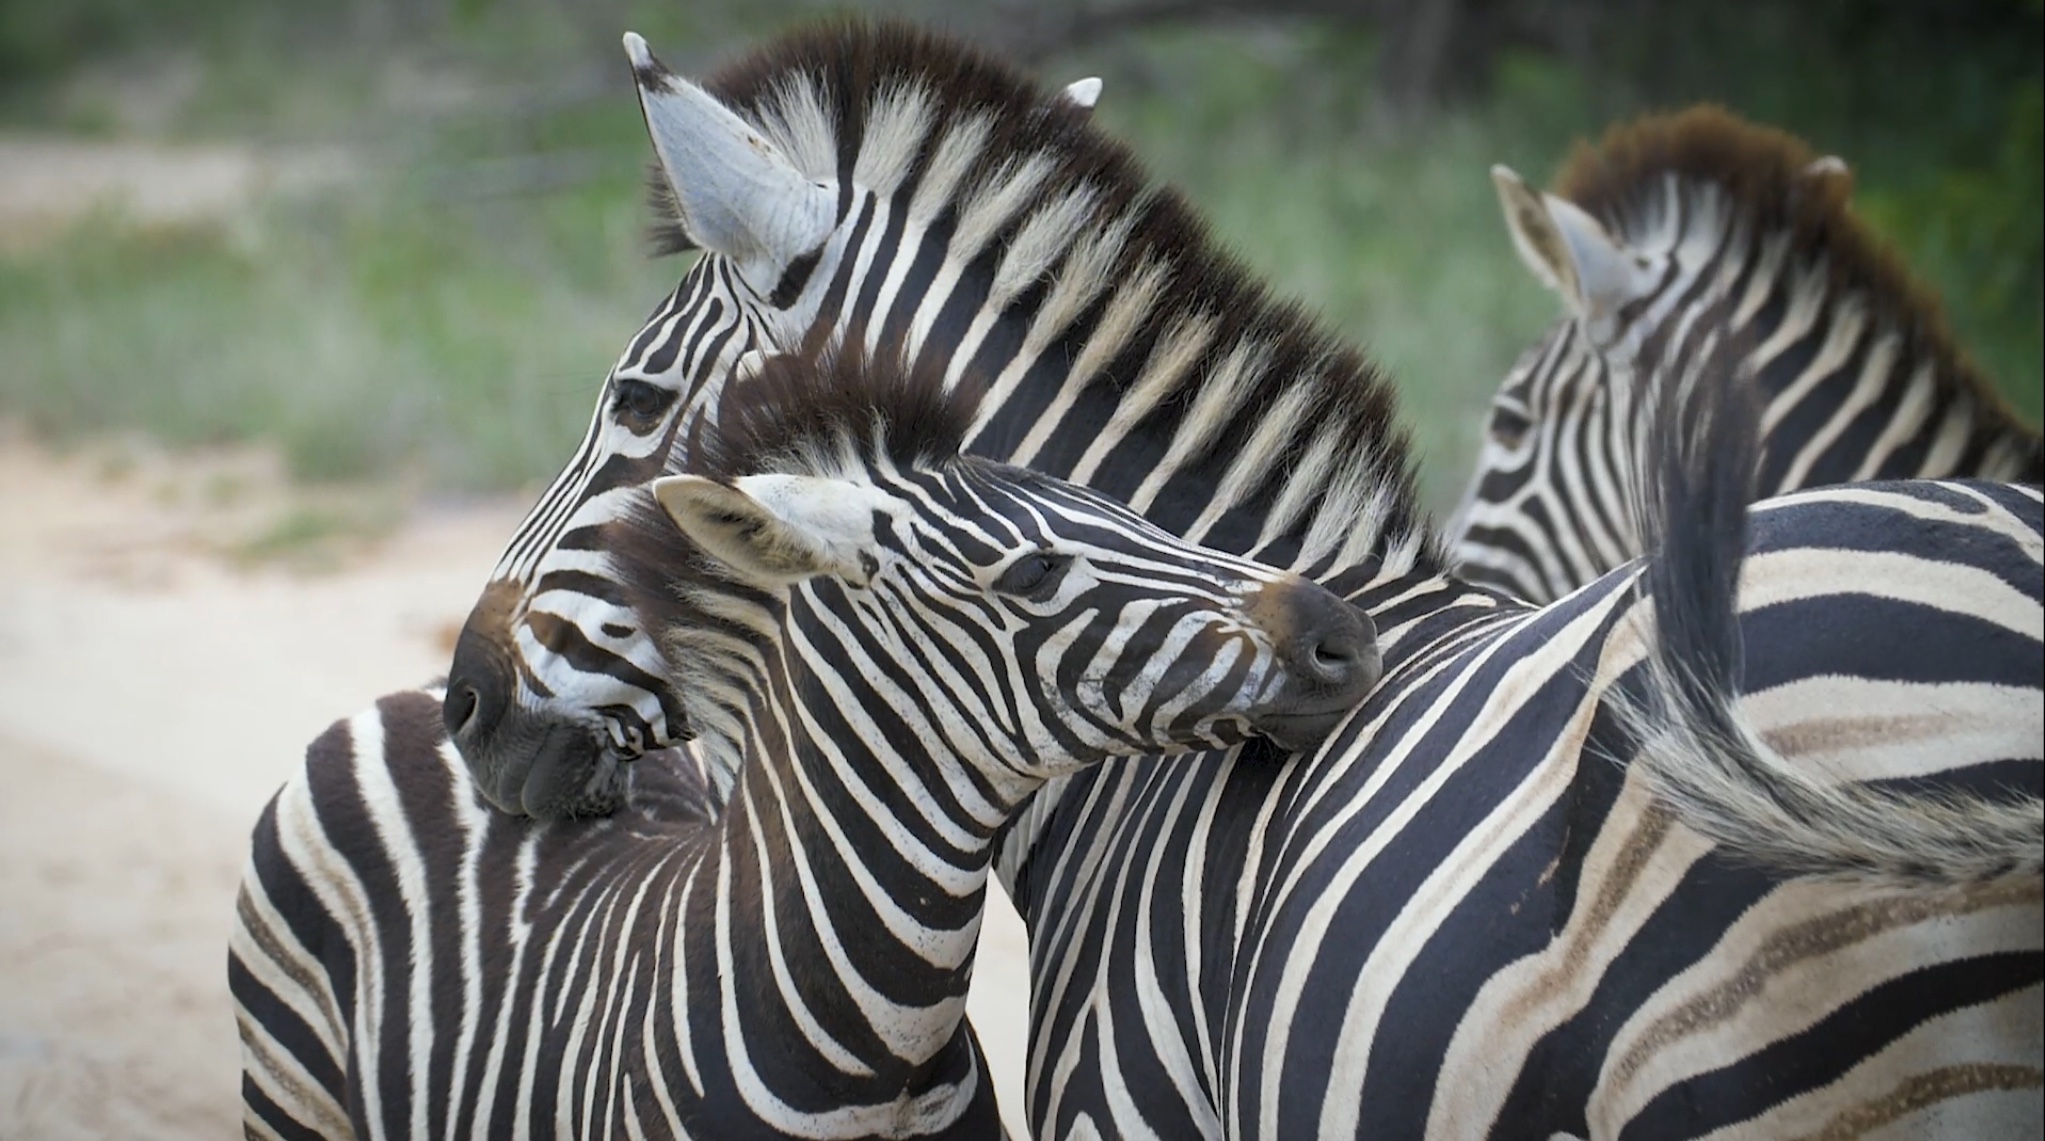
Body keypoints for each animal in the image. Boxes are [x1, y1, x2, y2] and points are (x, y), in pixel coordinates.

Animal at [229, 345, 1380, 1138]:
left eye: (1126, 509)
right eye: (1038, 572)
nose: (1344, 632)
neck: (873, 1050)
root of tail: (409, 695)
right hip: (289, 1093)